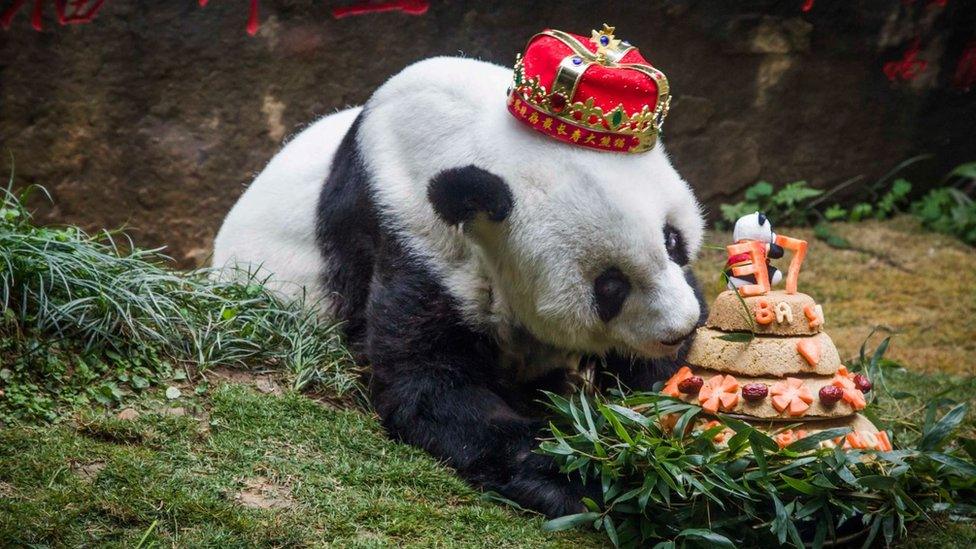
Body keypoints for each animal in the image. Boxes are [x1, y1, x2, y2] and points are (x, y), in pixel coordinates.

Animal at [214, 54, 704, 512]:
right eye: (610, 286)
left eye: (673, 239)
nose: (679, 329)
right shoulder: (414, 233)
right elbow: (430, 383)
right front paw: (588, 470)